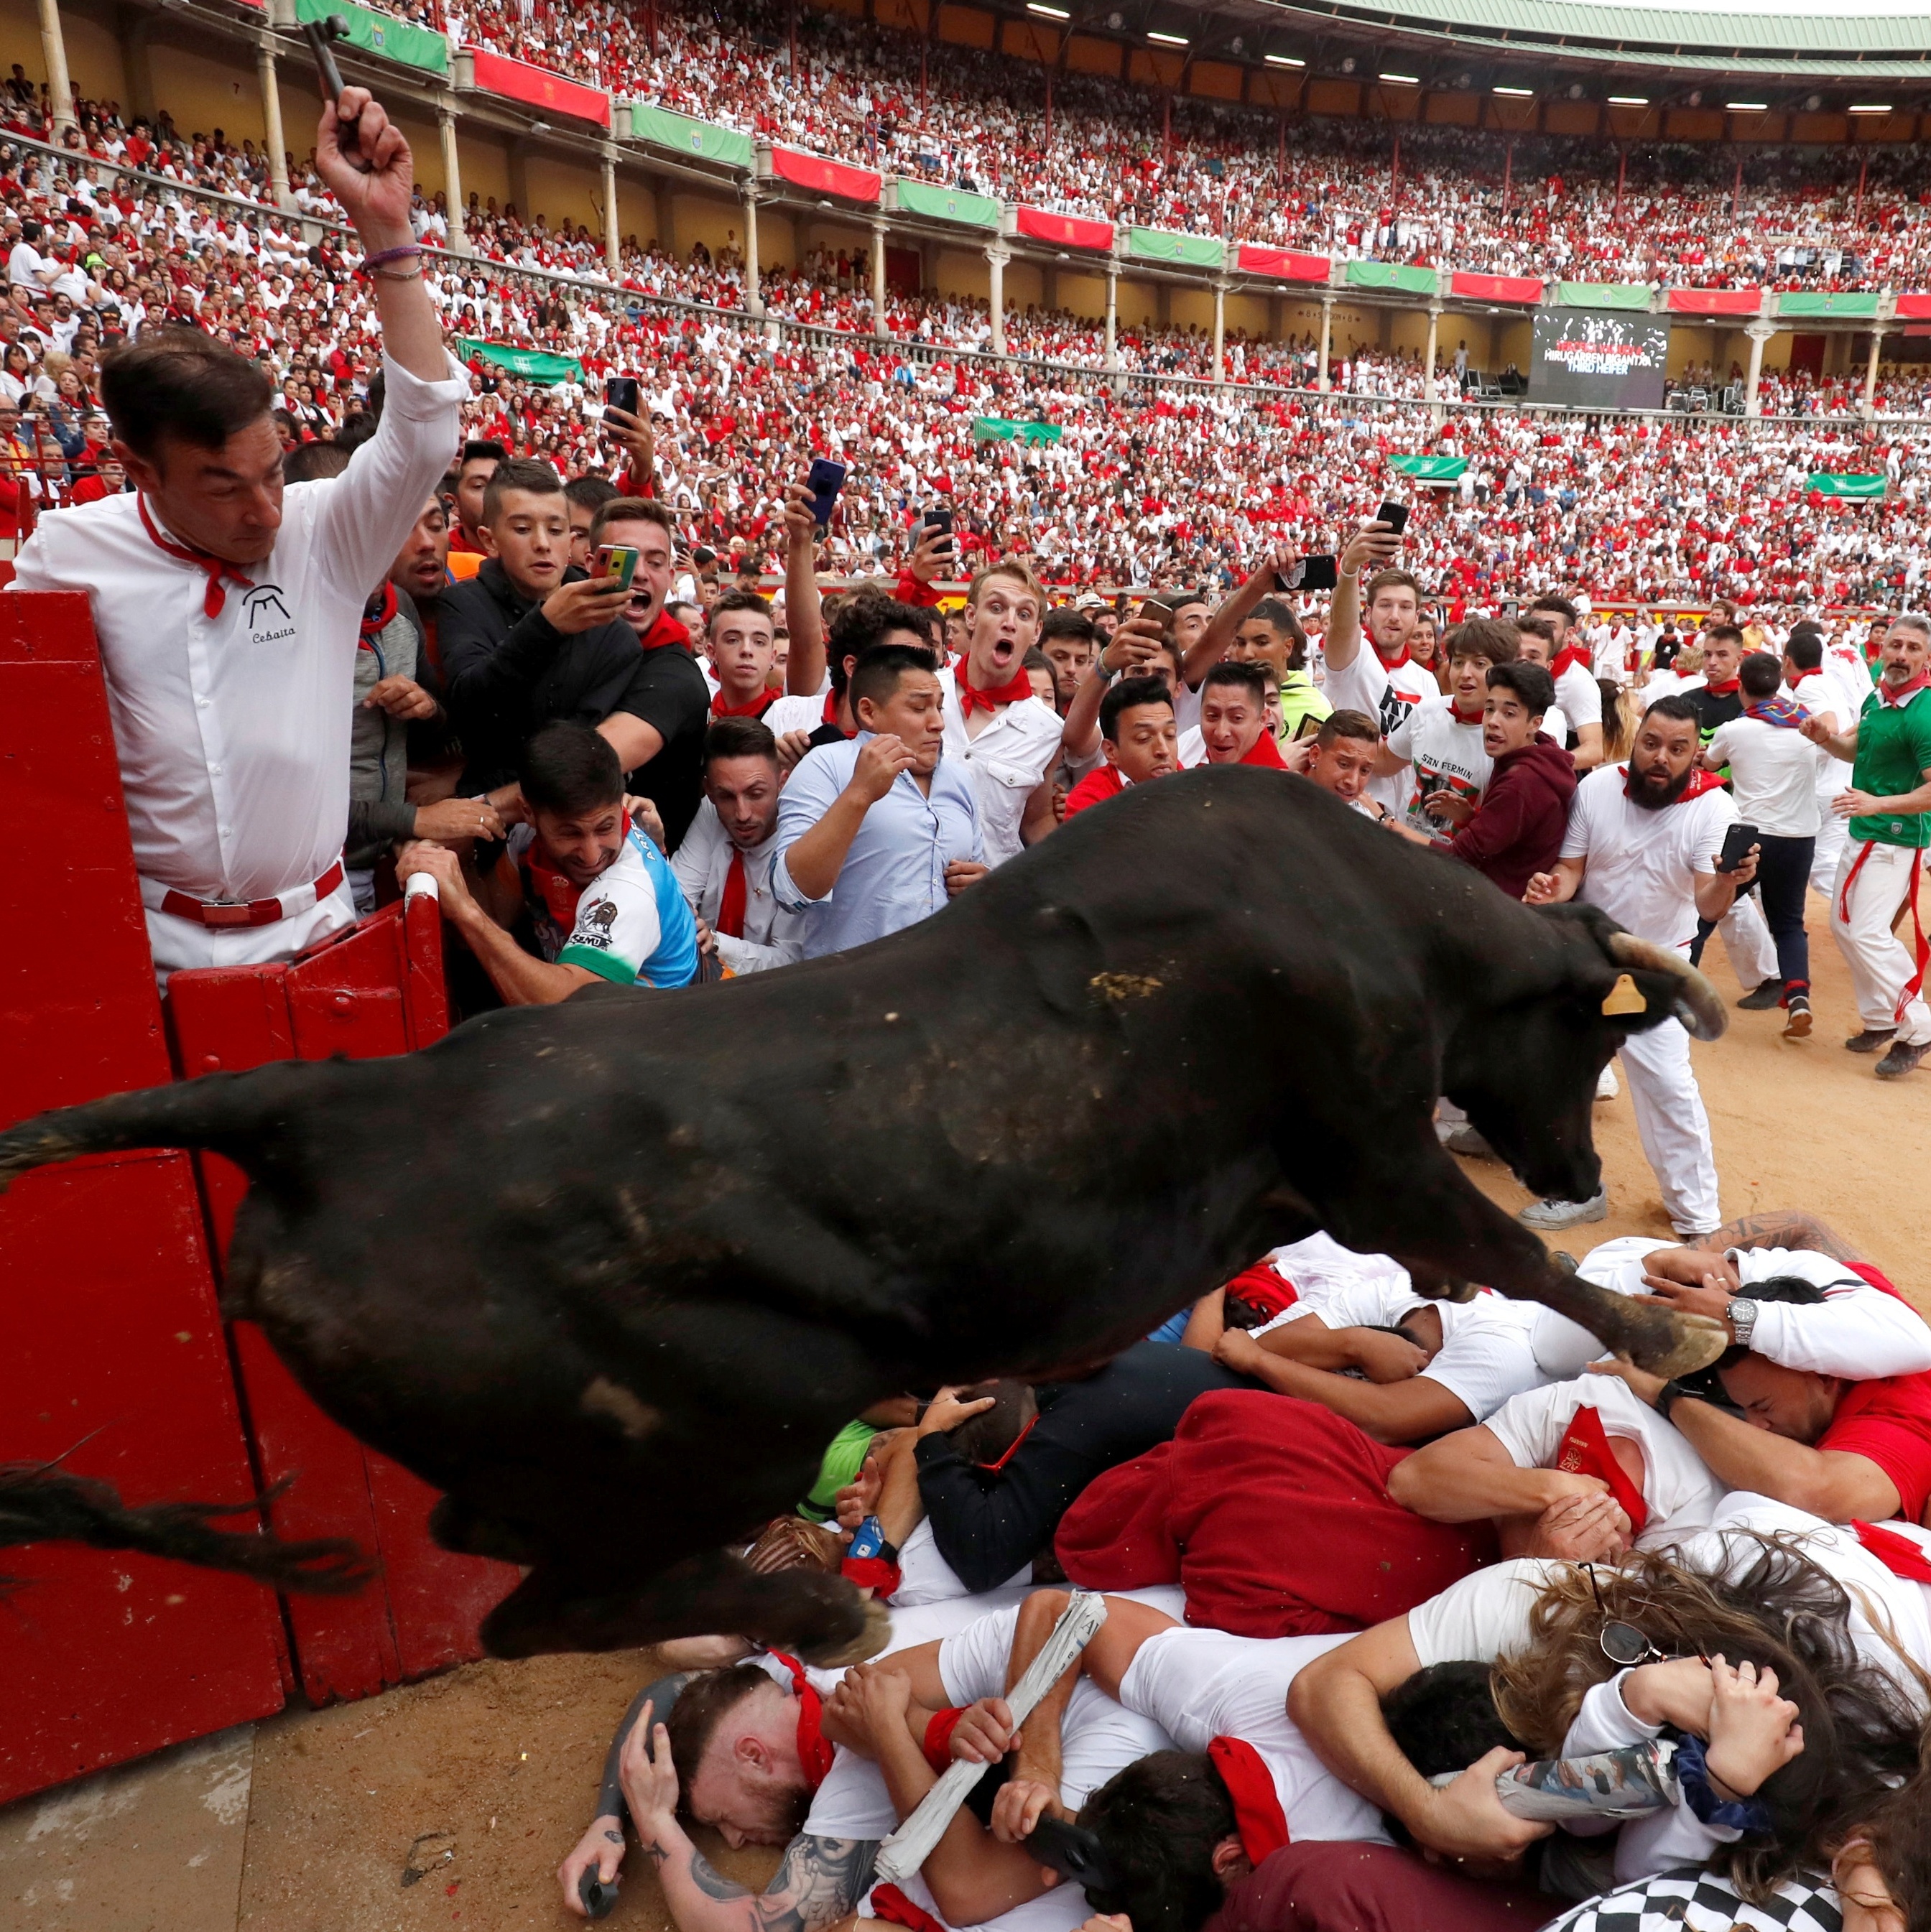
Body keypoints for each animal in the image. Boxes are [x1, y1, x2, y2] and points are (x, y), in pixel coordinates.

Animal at [0, 768, 1731, 1661]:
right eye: (1589, 1040)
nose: (1569, 1164)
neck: (1375, 911)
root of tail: (326, 1107)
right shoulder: (1379, 1154)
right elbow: (1501, 1255)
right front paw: (1665, 1327)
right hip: (728, 1430)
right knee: (535, 1608)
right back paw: (814, 1602)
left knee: (485, 1544)